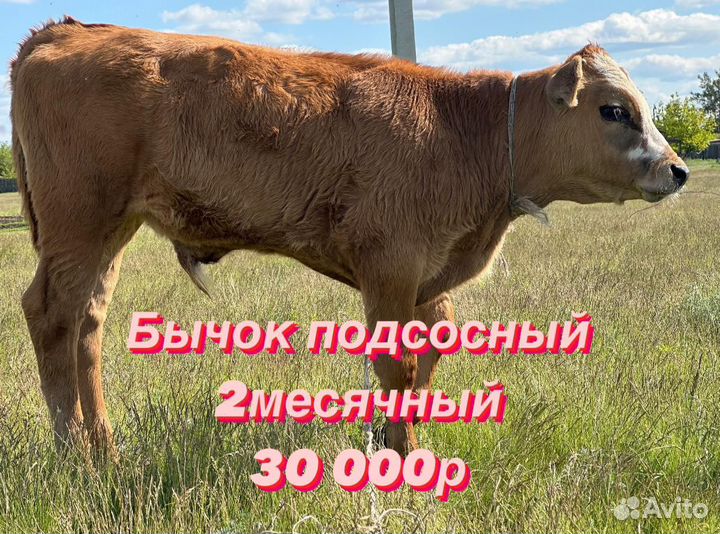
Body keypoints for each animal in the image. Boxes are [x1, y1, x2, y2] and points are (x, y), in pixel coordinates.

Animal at [10, 17, 689, 457]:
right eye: (614, 109)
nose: (677, 169)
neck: (461, 131)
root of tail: (68, 29)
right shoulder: (390, 267)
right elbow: (397, 362)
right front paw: (400, 457)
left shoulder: (428, 281)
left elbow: (430, 352)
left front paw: (402, 434)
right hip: (80, 222)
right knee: (52, 315)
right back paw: (76, 456)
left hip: (110, 230)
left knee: (88, 322)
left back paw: (105, 446)